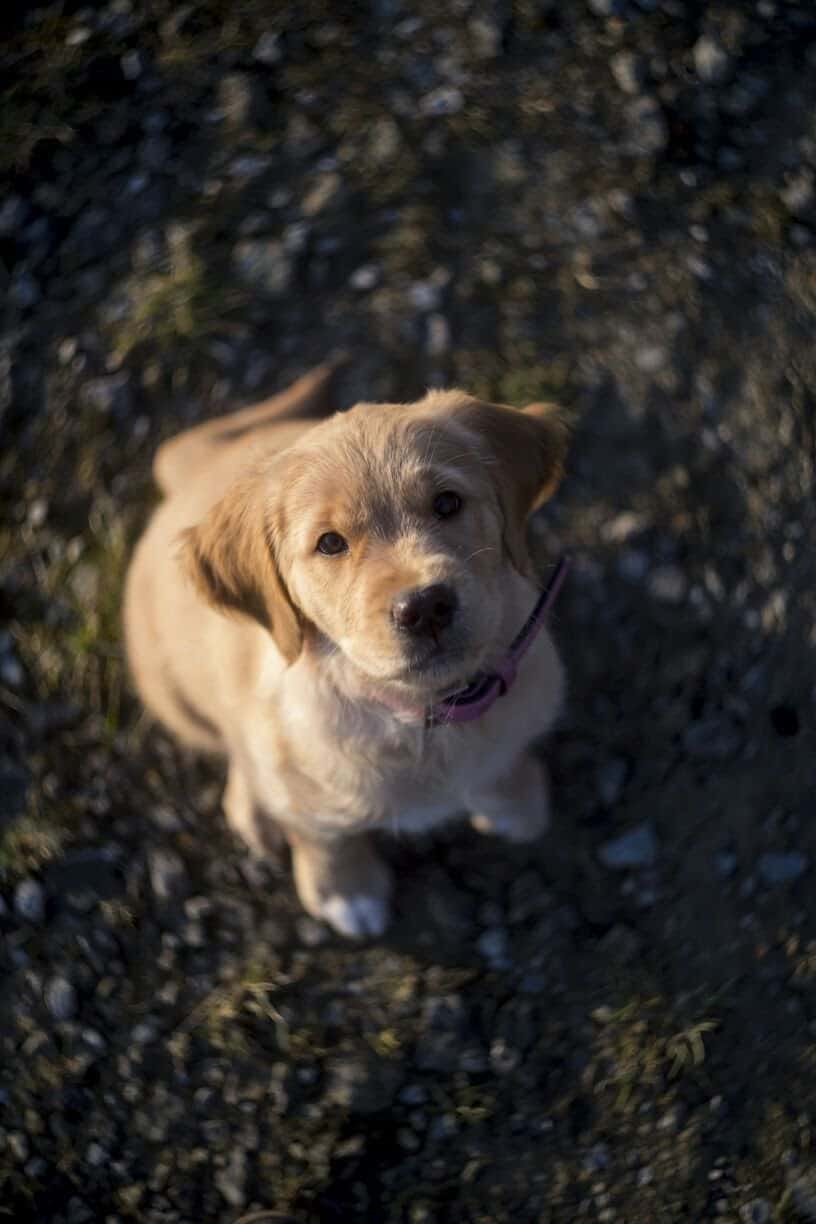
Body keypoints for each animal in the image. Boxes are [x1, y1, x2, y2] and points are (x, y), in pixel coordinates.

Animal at [122, 359, 567, 935]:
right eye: (330, 543)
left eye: (447, 503)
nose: (425, 606)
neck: (422, 715)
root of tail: (191, 474)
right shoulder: (294, 776)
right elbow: (324, 833)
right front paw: (344, 890)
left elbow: (504, 756)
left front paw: (514, 799)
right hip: (172, 697)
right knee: (232, 754)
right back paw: (256, 813)